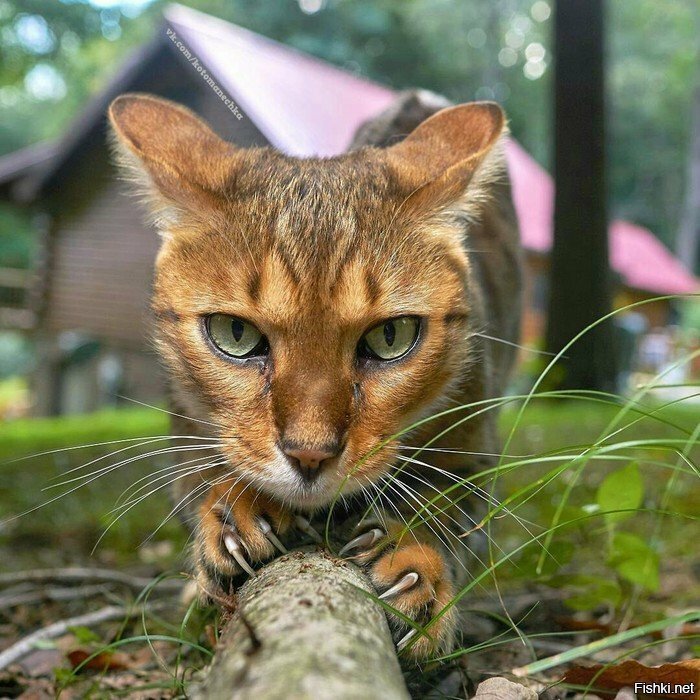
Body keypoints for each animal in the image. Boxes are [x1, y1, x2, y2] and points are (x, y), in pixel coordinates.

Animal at [109, 89, 524, 660]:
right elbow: (201, 481)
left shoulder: (471, 429)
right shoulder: (186, 426)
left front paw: (415, 561)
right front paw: (237, 511)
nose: (309, 455)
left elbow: (453, 507)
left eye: (391, 337)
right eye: (234, 333)